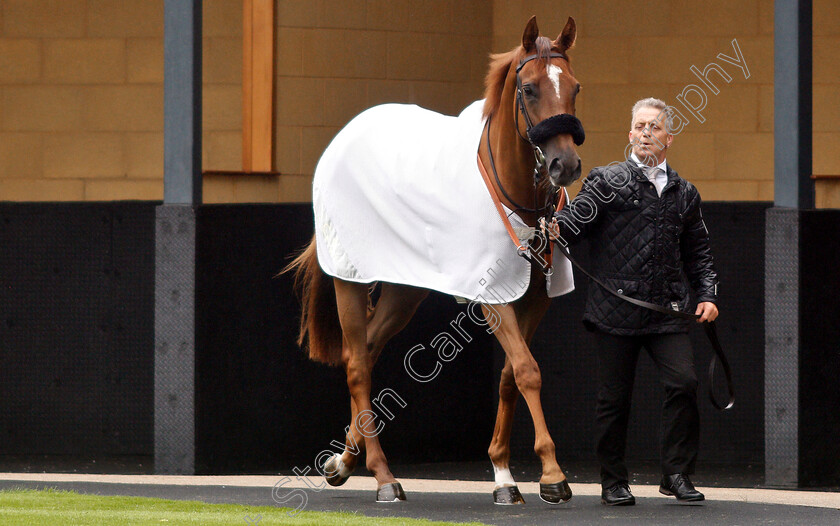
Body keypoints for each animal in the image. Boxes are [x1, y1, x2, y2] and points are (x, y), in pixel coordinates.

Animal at [286, 15, 580, 504]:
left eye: (574, 87)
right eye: (530, 89)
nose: (565, 165)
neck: (511, 189)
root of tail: (344, 137)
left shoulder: (535, 297)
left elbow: (509, 375)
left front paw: (503, 473)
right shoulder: (493, 295)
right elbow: (527, 370)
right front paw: (552, 474)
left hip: (403, 291)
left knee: (368, 350)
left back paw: (344, 460)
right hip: (350, 280)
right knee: (357, 365)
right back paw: (383, 476)